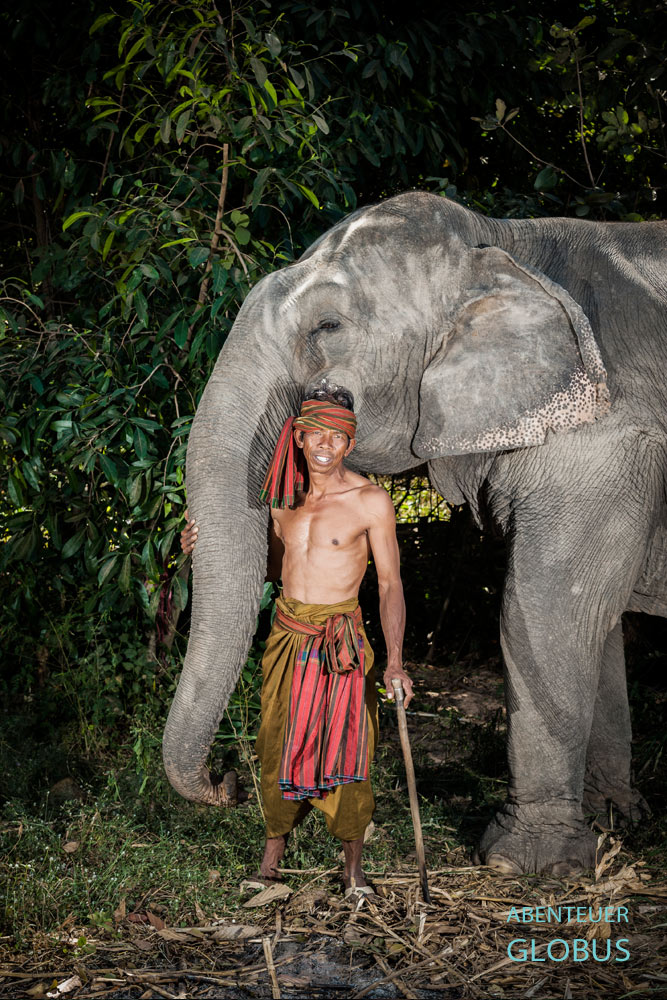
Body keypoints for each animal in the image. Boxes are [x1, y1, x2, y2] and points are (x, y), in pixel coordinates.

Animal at [163, 191, 667, 875]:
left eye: (327, 327)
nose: (227, 781)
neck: (505, 240)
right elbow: (598, 619)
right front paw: (611, 824)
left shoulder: (605, 444)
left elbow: (546, 608)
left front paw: (525, 865)